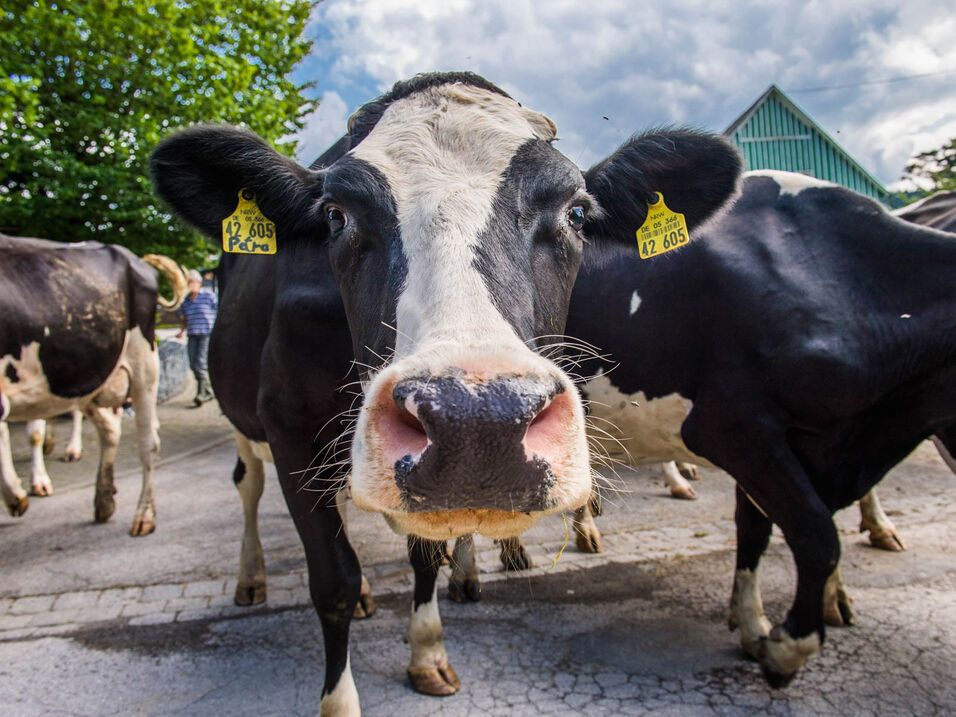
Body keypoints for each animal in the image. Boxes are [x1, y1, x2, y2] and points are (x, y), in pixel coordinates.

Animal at [0, 238, 187, 536]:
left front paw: (21, 493)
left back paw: (144, 515)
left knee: (148, 442)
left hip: (144, 363)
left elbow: (28, 435)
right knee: (110, 429)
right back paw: (104, 500)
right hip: (90, 379)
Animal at [153, 71, 744, 712]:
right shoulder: (288, 429)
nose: (479, 422)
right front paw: (339, 700)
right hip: (245, 421)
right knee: (247, 484)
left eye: (577, 213)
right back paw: (251, 576)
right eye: (335, 215)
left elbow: (422, 557)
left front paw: (428, 654)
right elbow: (331, 579)